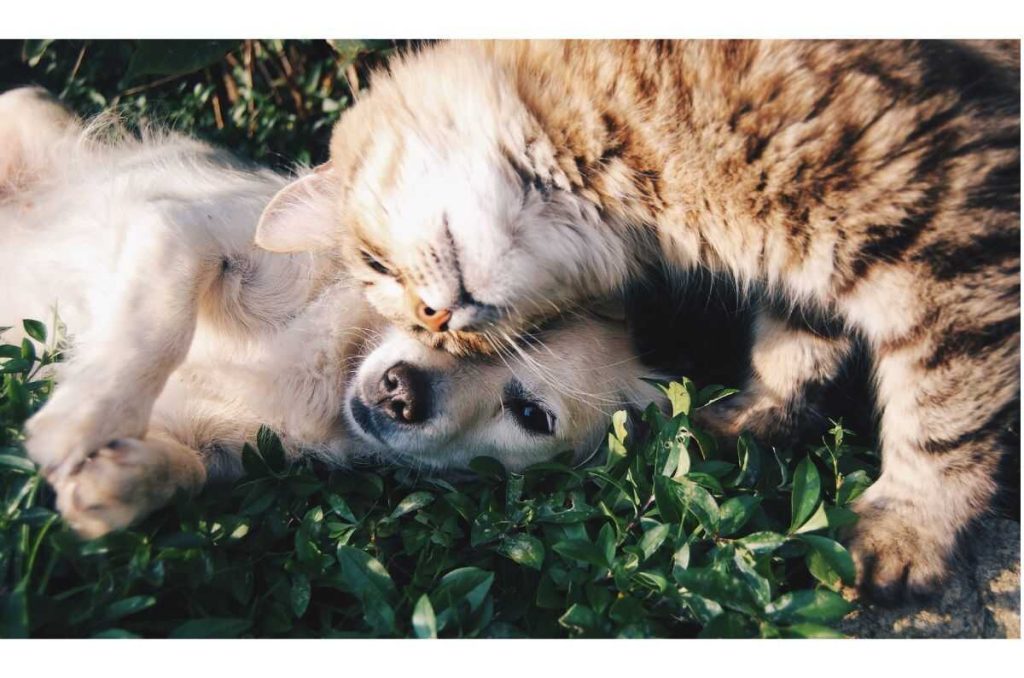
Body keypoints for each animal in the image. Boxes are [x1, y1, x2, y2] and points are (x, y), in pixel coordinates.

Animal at [0, 87, 663, 540]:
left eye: (530, 415)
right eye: (433, 313)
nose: (401, 392)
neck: (333, 366)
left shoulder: (221, 444)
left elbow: (186, 470)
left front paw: (118, 482)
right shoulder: (183, 229)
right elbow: (156, 328)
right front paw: (82, 419)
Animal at [251, 39, 1019, 602]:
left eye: (376, 264)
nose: (437, 320)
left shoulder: (947, 236)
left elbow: (943, 418)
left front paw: (909, 530)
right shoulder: (810, 265)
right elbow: (792, 352)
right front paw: (752, 418)